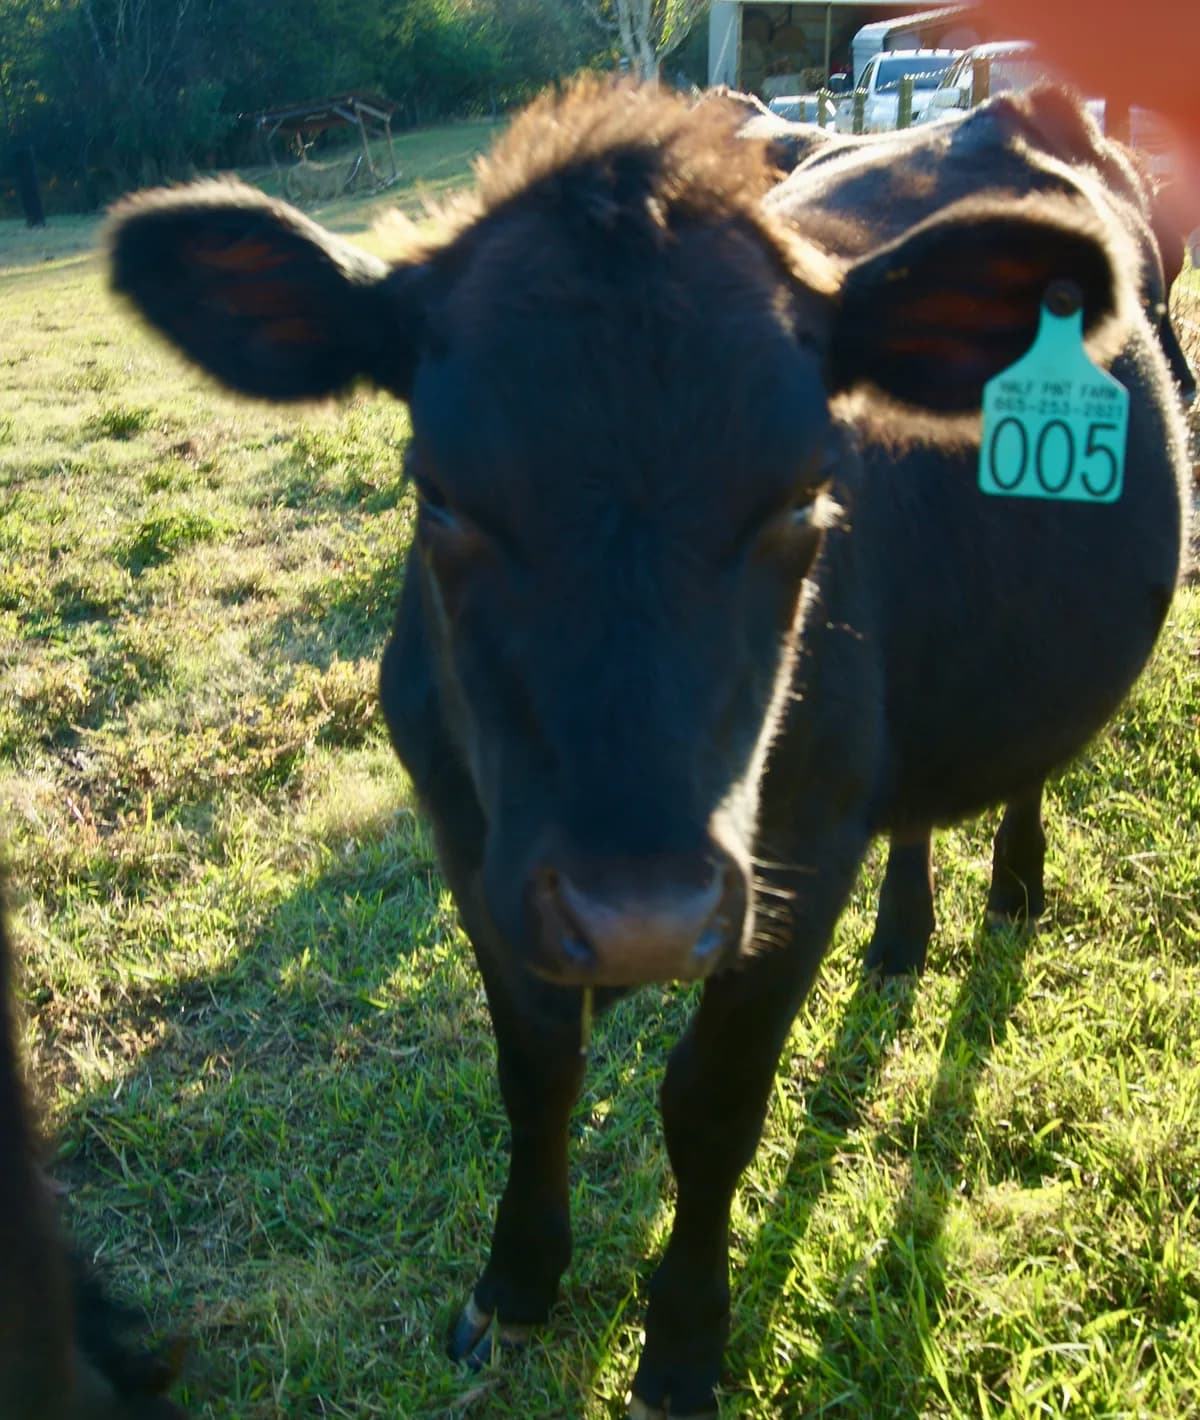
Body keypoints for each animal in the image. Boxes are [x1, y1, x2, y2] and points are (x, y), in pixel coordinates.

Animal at [107, 78, 1189, 1417]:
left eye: (806, 493)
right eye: (439, 494)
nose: (640, 917)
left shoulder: (794, 860)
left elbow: (711, 1106)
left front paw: (681, 1342)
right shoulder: (474, 848)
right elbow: (537, 1071)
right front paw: (516, 1281)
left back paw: (1014, 886)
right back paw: (903, 935)